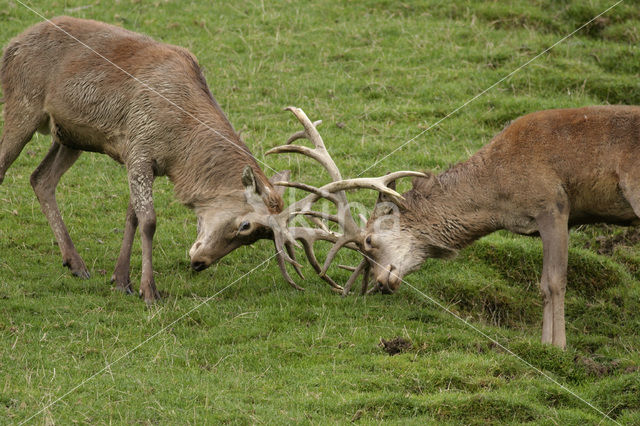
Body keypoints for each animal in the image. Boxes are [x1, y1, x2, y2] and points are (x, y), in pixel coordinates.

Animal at [0, 16, 292, 302]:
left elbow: (133, 217)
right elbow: (149, 220)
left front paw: (121, 280)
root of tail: (12, 44)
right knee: (5, 167)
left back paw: (75, 263)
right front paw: (148, 290)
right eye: (245, 225)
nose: (200, 263)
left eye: (257, 237)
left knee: (41, 178)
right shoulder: (141, 146)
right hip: (22, 106)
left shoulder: (139, 158)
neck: (178, 149)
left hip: (70, 136)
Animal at [356, 105, 640, 348]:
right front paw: (546, 343)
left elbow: (553, 282)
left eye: (368, 241)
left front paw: (556, 346)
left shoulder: (553, 205)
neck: (498, 196)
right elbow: (544, 285)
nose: (380, 283)